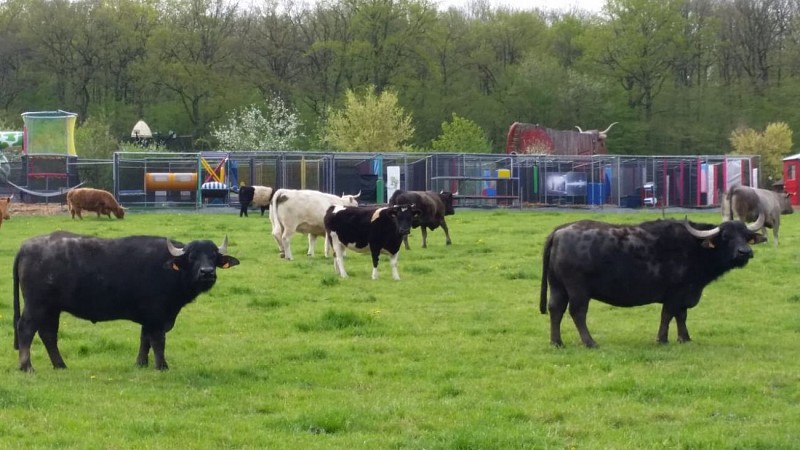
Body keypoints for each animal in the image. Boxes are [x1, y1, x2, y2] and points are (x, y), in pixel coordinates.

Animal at [13, 232, 239, 371]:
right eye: (192, 256)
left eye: (213, 256)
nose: (207, 272)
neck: (170, 271)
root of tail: (25, 246)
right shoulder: (157, 316)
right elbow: (158, 341)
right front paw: (161, 366)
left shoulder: (148, 318)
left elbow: (144, 339)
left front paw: (141, 363)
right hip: (36, 305)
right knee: (26, 329)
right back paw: (26, 366)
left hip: (52, 309)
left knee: (48, 334)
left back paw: (60, 365)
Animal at [540, 215, 767, 347]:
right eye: (726, 236)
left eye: (746, 235)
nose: (745, 252)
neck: (695, 248)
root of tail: (560, 231)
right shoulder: (675, 293)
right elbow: (668, 315)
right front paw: (662, 339)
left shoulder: (684, 294)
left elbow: (681, 316)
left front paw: (684, 338)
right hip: (578, 289)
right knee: (577, 312)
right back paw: (590, 342)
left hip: (557, 286)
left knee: (555, 310)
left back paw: (556, 342)